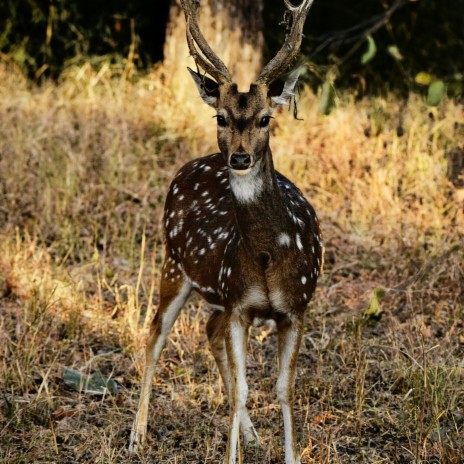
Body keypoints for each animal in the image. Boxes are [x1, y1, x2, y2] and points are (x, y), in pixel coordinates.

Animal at [129, 0, 320, 464]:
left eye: (266, 117)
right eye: (221, 116)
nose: (240, 157)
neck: (269, 255)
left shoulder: (295, 307)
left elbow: (283, 389)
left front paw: (286, 453)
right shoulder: (240, 304)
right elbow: (244, 389)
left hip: (214, 292)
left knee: (208, 334)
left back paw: (252, 435)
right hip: (173, 262)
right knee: (154, 336)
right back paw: (137, 436)